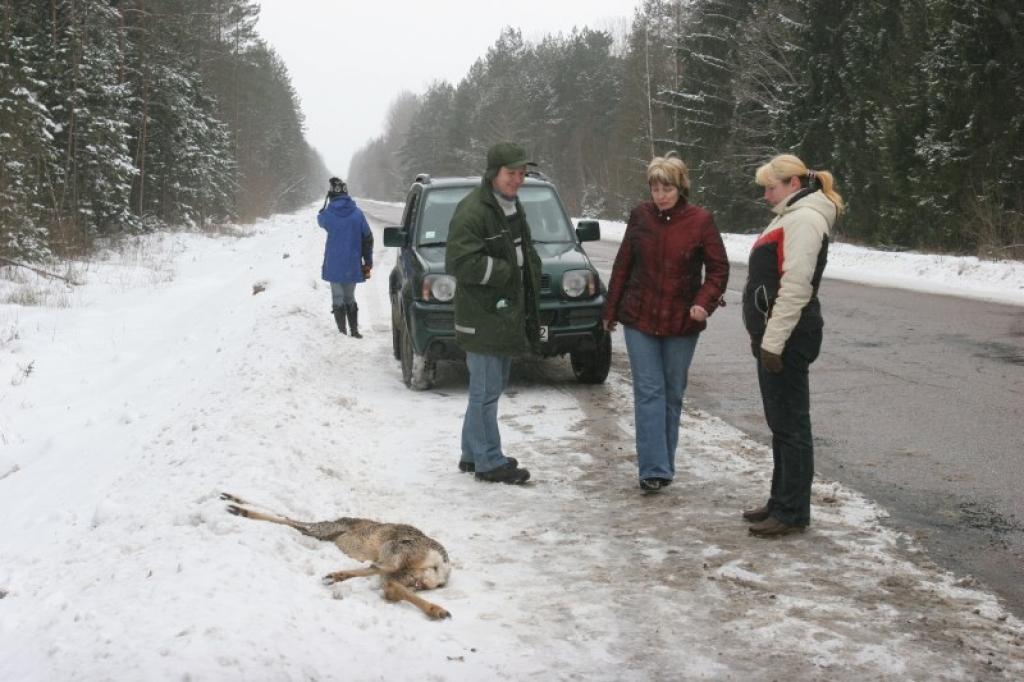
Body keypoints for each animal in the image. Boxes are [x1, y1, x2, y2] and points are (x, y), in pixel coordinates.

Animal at [222, 491, 450, 618]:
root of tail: (441, 567)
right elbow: (287, 517)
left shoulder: (326, 528)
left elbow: (289, 519)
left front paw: (235, 504)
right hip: (409, 573)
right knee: (390, 584)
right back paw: (438, 610)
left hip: (397, 549)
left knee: (380, 568)